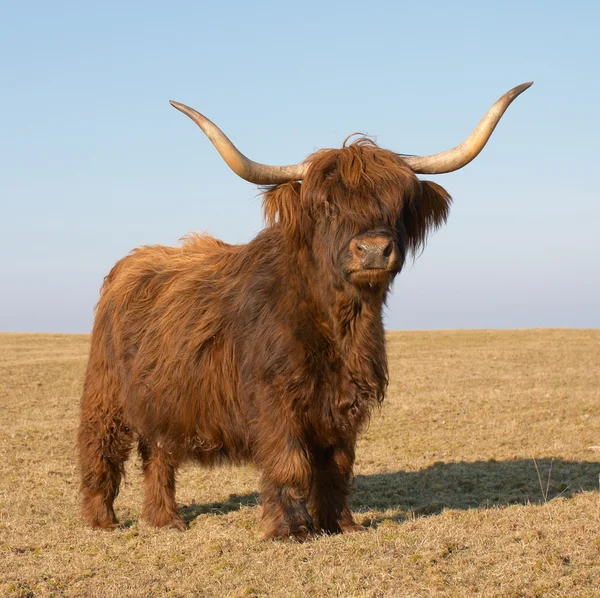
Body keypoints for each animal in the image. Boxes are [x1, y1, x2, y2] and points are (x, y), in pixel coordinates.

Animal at [77, 83, 532, 540]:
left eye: (397, 205)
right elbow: (290, 462)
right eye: (328, 207)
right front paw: (290, 529)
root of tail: (132, 261)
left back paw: (166, 520)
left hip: (162, 400)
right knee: (101, 449)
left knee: (159, 454)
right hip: (106, 393)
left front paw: (340, 524)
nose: (373, 250)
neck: (339, 323)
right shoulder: (275, 398)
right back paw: (103, 520)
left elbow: (336, 467)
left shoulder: (344, 405)